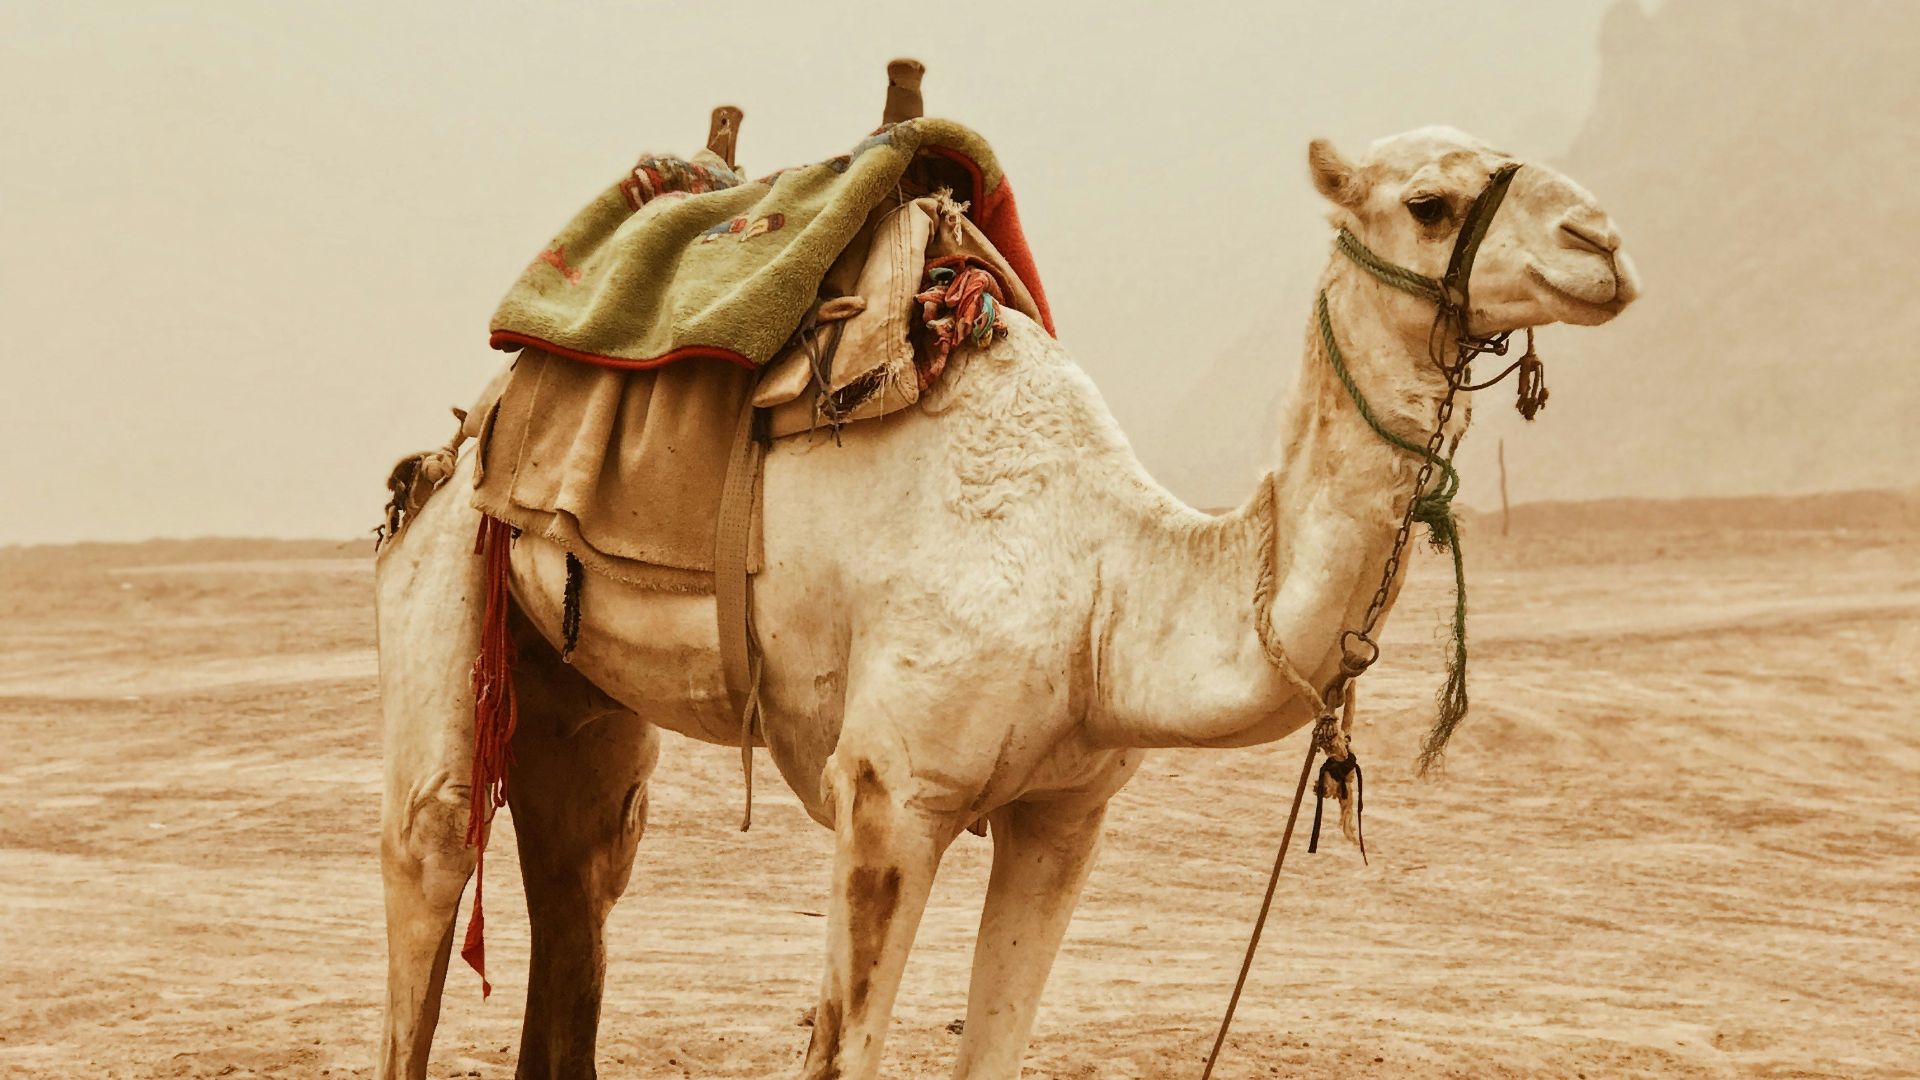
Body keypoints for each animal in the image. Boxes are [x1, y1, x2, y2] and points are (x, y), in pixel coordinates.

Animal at [374, 125, 1638, 1079]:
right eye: (1430, 203)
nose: (1604, 243)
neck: (1104, 585)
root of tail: (473, 423)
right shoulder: (890, 791)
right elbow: (847, 1050)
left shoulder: (1065, 811)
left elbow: (995, 1046)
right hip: (444, 565)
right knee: (432, 846)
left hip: (569, 678)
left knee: (582, 858)